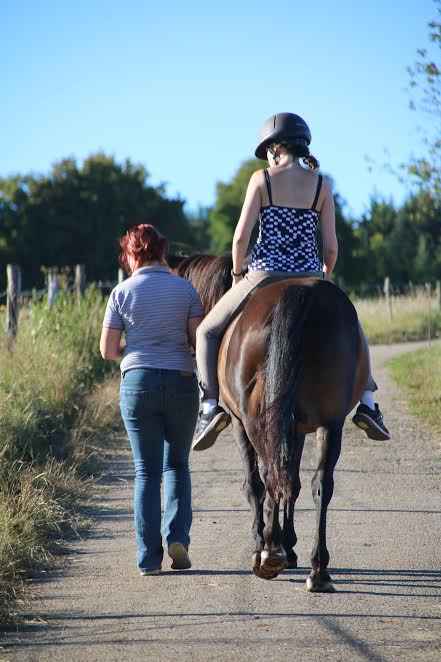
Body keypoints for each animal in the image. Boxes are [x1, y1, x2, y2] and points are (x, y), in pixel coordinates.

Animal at [172, 253, 368, 592]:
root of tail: (299, 292)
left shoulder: (240, 424)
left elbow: (256, 483)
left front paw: (266, 544)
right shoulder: (296, 427)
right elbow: (295, 481)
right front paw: (290, 545)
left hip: (255, 422)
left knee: (266, 475)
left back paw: (269, 551)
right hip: (330, 422)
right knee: (319, 483)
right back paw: (317, 569)